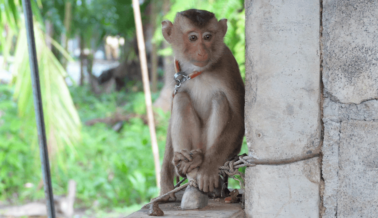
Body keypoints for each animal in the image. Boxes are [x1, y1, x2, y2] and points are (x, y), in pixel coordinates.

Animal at [160, 8, 245, 202]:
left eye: (207, 37)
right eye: (193, 38)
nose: (202, 52)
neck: (197, 71)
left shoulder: (228, 65)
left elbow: (238, 117)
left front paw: (208, 168)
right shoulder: (177, 73)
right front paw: (166, 180)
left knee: (220, 99)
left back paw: (202, 166)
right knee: (181, 99)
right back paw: (184, 164)